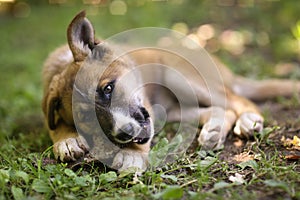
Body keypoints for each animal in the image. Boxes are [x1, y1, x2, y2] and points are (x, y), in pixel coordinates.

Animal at [42, 10, 300, 171]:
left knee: (237, 100)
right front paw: (67, 140)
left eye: (108, 88)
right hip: (175, 110)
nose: (124, 134)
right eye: (86, 117)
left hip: (179, 75)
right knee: (221, 109)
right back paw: (214, 131)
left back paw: (248, 119)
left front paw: (132, 154)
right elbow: (54, 125)